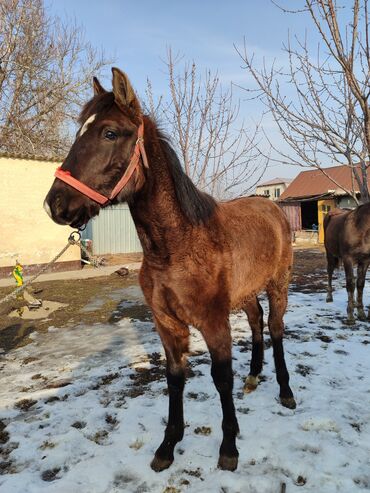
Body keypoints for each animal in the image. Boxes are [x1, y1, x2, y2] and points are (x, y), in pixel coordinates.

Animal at [44, 67, 298, 470]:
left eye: (110, 132)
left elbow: (221, 378)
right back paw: (254, 376)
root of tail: (271, 206)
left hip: (278, 285)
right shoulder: (167, 324)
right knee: (257, 322)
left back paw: (286, 391)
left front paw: (229, 448)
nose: (55, 204)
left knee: (275, 329)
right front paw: (168, 446)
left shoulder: (214, 323)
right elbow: (175, 378)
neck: (176, 248)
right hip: (245, 294)